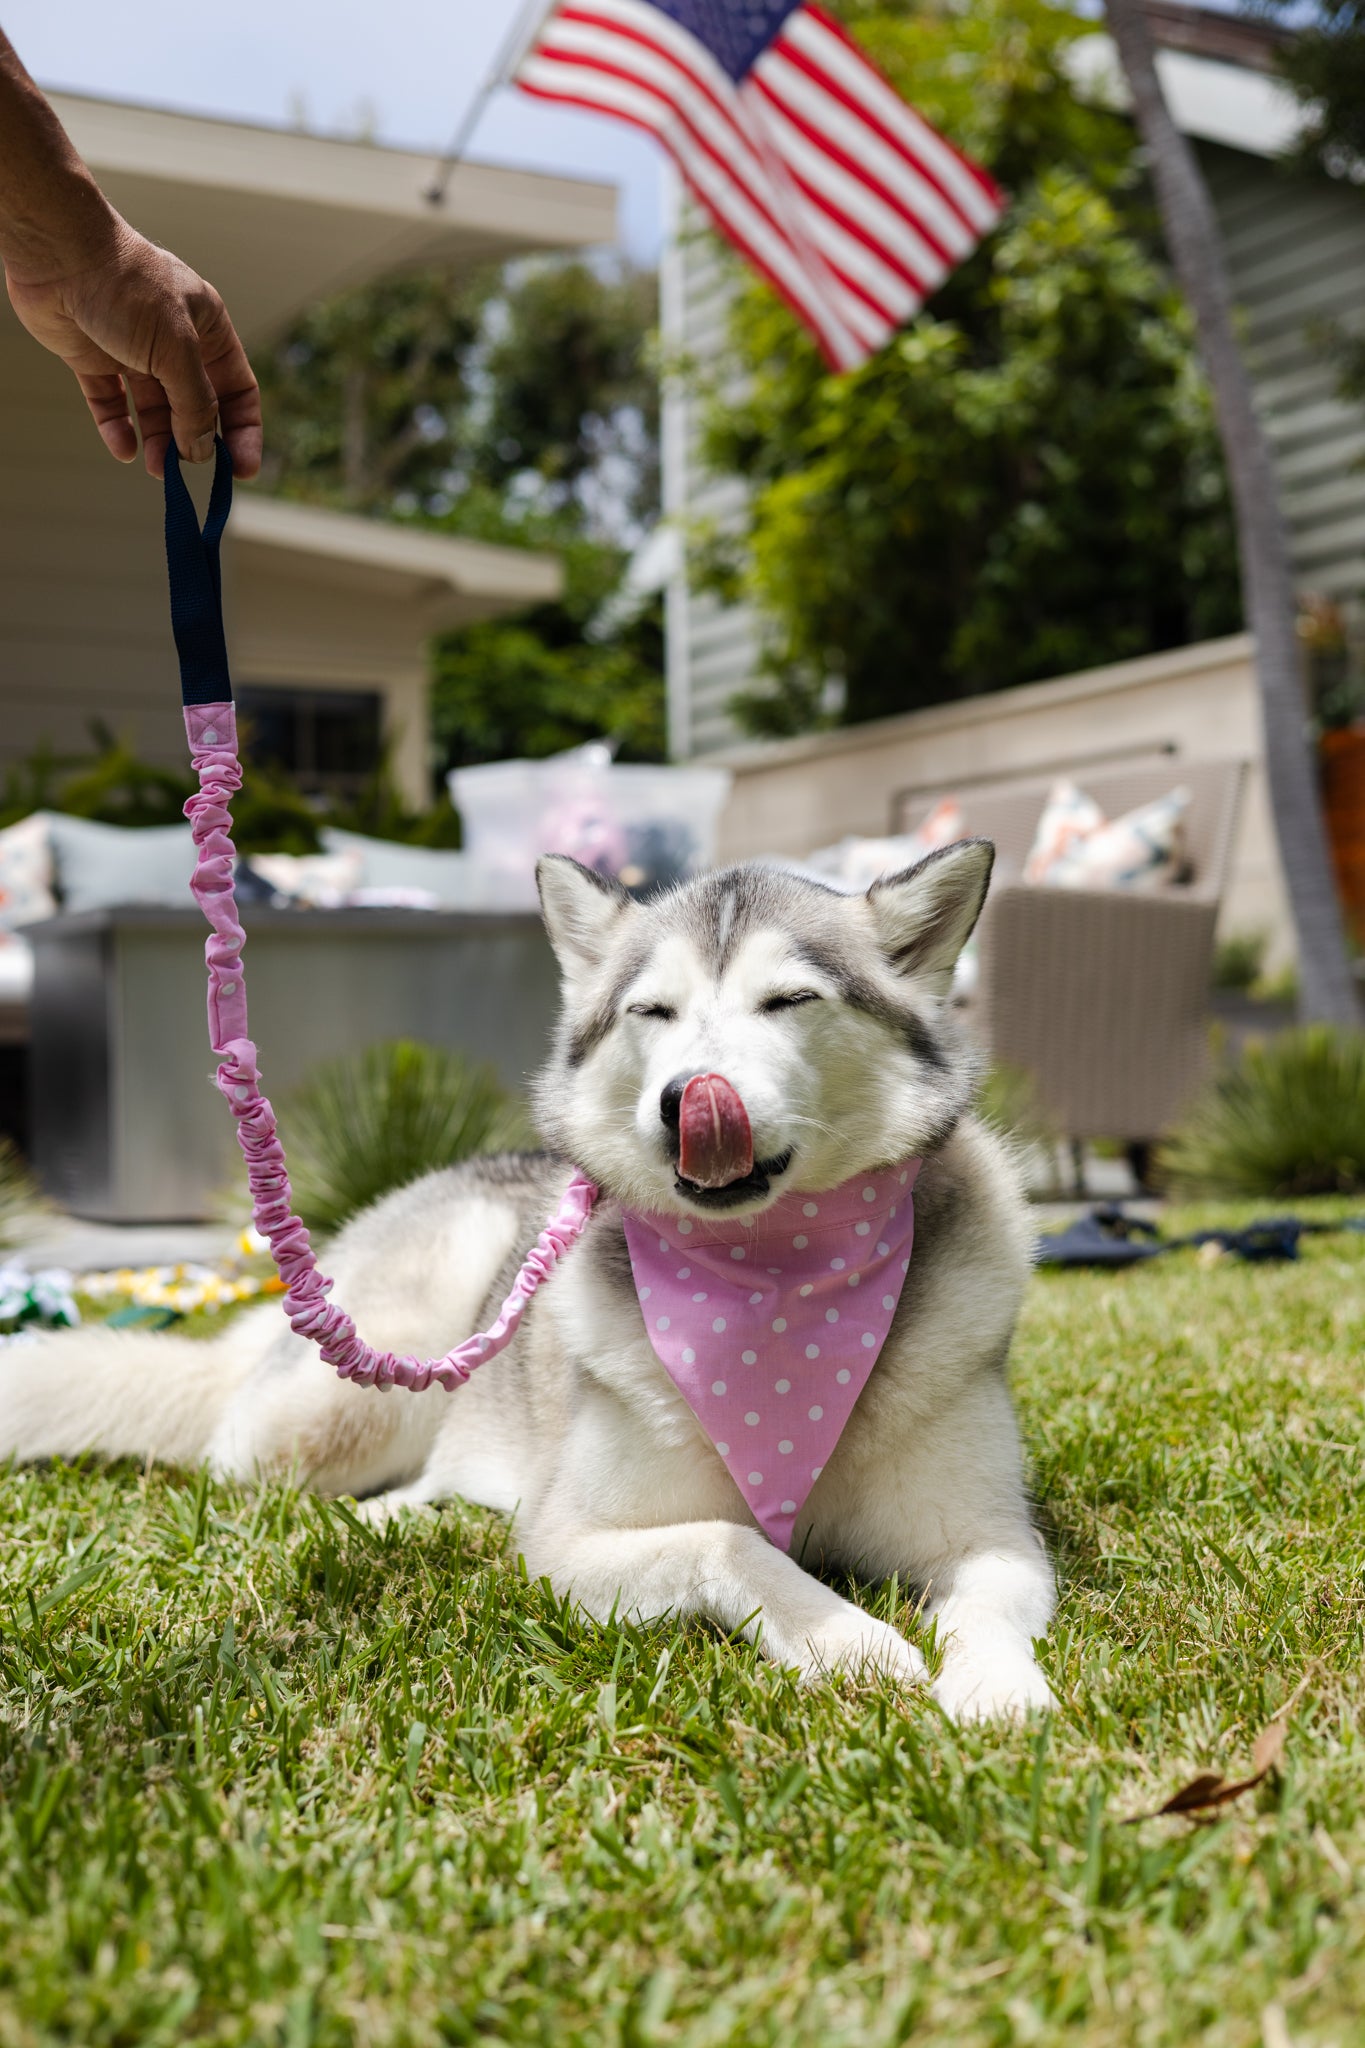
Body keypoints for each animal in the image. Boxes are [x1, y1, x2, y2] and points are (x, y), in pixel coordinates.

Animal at [0, 839, 1055, 1720]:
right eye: (651, 1012)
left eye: (790, 1001)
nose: (685, 1102)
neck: (773, 1284)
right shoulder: (567, 1547)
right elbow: (730, 1542)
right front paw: (847, 1638)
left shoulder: (991, 1536)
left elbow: (993, 1599)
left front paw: (996, 1691)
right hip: (362, 1389)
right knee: (239, 1458)